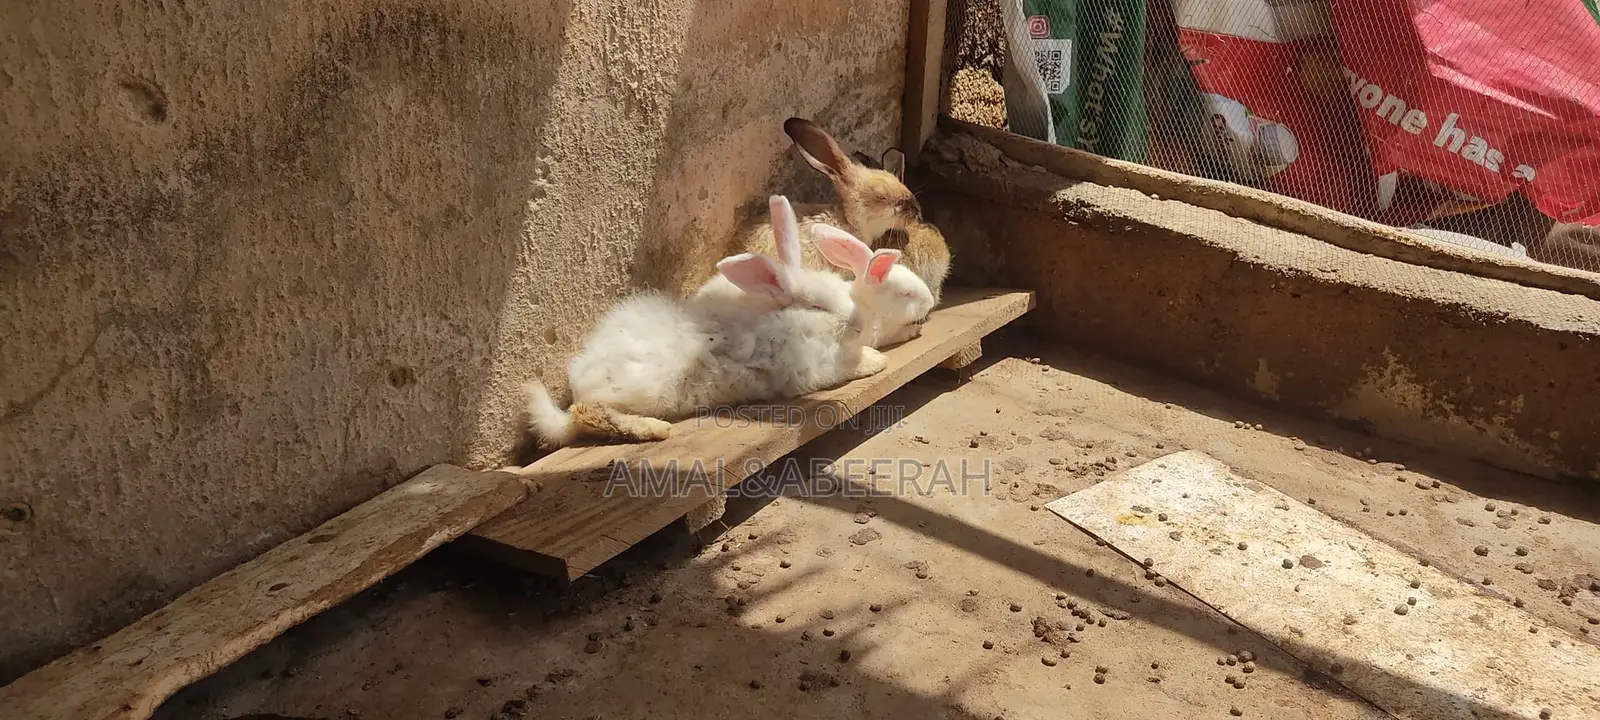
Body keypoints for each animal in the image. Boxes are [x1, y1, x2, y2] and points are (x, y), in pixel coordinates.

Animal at [524, 227, 917, 449]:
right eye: (818, 305)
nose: (859, 324)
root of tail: (579, 382)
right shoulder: (809, 369)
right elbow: (850, 365)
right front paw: (877, 360)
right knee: (588, 413)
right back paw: (655, 430)